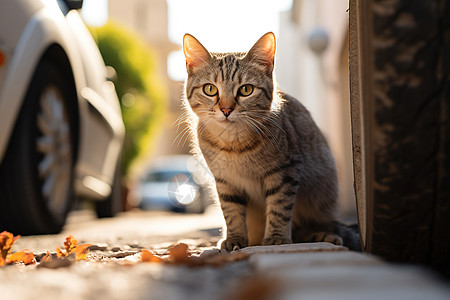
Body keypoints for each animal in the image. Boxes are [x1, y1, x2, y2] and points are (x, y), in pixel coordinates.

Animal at [181, 31, 360, 251]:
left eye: (246, 90)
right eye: (210, 89)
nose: (226, 109)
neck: (234, 144)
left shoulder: (285, 172)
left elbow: (279, 208)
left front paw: (276, 237)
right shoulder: (225, 181)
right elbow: (231, 212)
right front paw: (234, 239)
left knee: (314, 227)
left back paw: (323, 235)